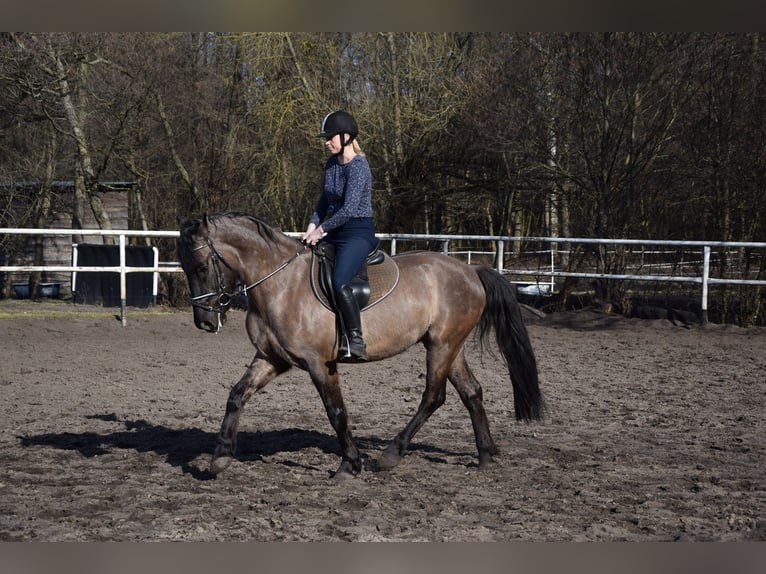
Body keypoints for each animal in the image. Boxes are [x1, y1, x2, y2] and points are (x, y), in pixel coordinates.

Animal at [177, 212, 543, 479]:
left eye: (201, 266)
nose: (205, 322)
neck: (280, 284)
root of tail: (471, 269)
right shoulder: (271, 358)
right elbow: (237, 395)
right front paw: (220, 458)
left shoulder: (319, 363)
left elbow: (336, 412)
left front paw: (349, 465)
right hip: (451, 346)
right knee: (472, 392)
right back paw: (485, 456)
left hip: (441, 346)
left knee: (433, 396)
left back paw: (391, 454)